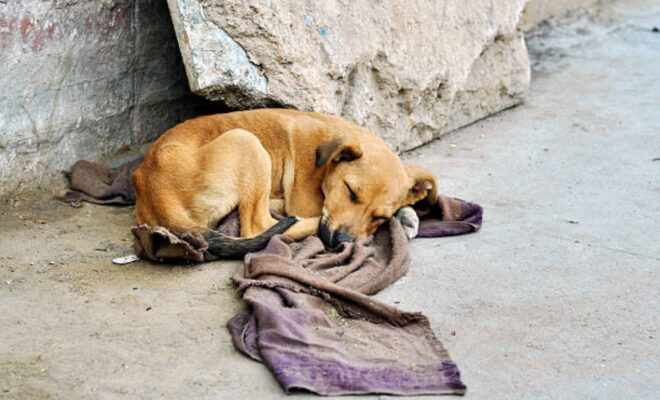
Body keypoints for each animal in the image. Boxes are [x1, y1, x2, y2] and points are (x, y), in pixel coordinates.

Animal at [131, 109, 436, 258]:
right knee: (258, 226)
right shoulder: (307, 201)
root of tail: (152, 189)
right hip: (247, 141)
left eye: (379, 216)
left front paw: (406, 215)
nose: (341, 242)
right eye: (350, 191)